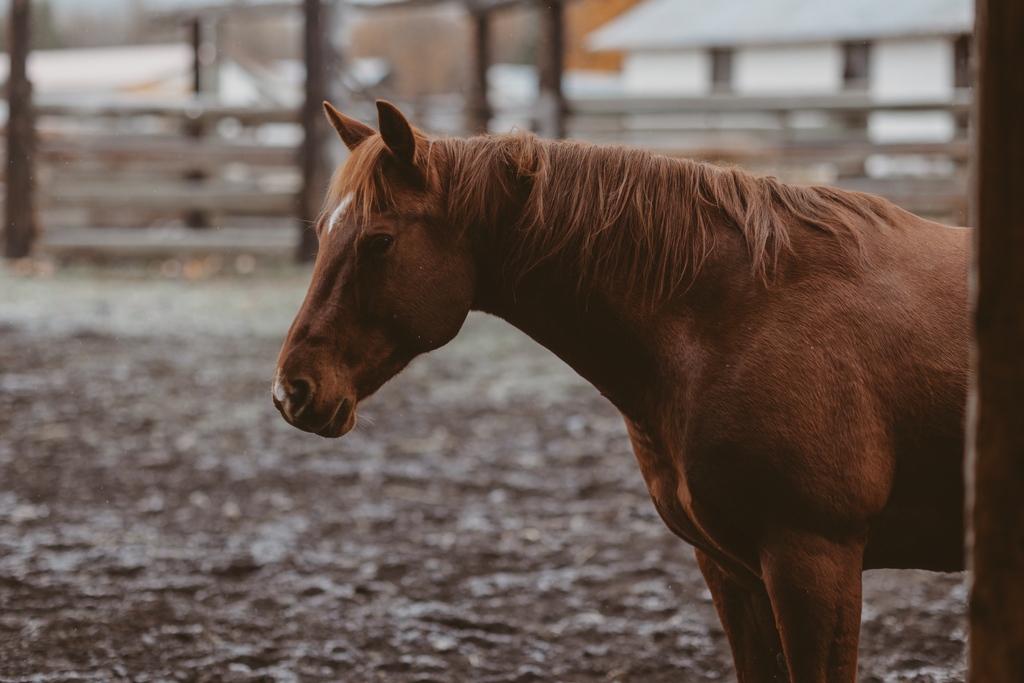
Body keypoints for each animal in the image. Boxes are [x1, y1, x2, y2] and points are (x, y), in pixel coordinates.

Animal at [273, 100, 970, 682]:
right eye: (322, 231)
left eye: (378, 240)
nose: (290, 390)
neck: (741, 314)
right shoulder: (734, 570)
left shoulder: (814, 559)